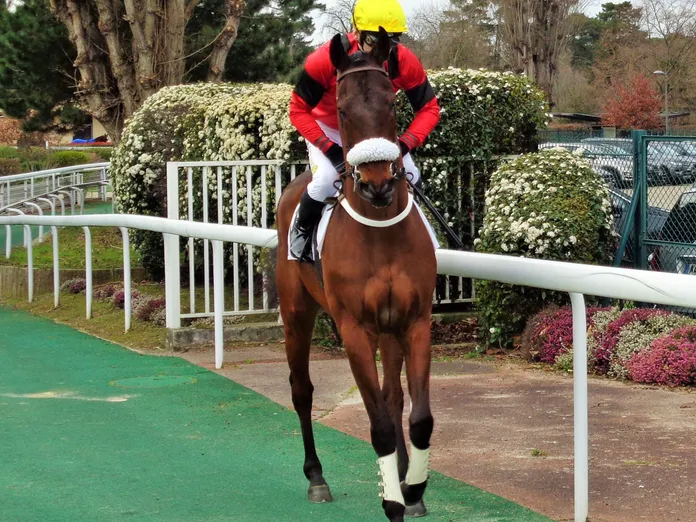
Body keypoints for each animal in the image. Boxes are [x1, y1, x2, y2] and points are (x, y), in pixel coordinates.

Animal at [274, 28, 437, 522]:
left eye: (391, 103)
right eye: (342, 109)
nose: (378, 184)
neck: (380, 233)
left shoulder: (414, 322)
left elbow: (418, 417)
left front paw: (413, 487)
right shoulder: (354, 330)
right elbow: (378, 425)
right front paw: (392, 500)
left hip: (389, 328)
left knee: (393, 395)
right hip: (297, 313)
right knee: (301, 389)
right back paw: (316, 477)